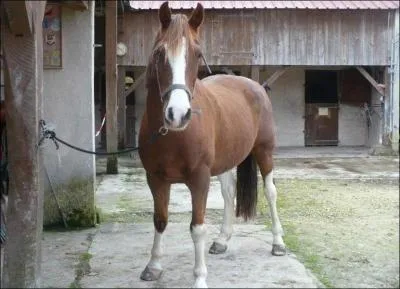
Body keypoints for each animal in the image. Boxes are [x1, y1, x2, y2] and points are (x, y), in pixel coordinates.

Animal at [139, 1, 286, 286]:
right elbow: (160, 220)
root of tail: (255, 85)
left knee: (270, 192)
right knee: (229, 194)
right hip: (226, 160)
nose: (177, 114)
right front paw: (153, 265)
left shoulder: (199, 179)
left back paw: (278, 242)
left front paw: (199, 278)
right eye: (160, 53)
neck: (173, 135)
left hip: (264, 152)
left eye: (197, 54)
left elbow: (197, 228)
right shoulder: (155, 178)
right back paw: (222, 240)